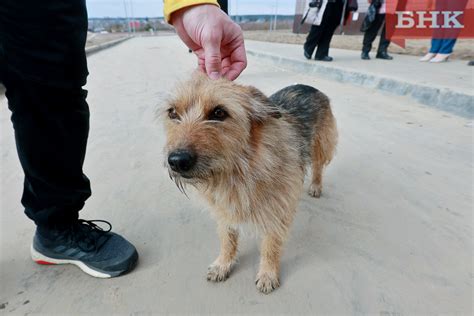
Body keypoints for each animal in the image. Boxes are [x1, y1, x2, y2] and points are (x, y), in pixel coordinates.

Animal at [163, 72, 336, 294]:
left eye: (219, 112)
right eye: (172, 113)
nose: (177, 161)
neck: (238, 170)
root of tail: (308, 86)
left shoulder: (277, 213)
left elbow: (270, 246)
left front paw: (268, 274)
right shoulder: (223, 211)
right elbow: (227, 240)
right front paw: (223, 264)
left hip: (321, 144)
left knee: (318, 166)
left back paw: (315, 185)